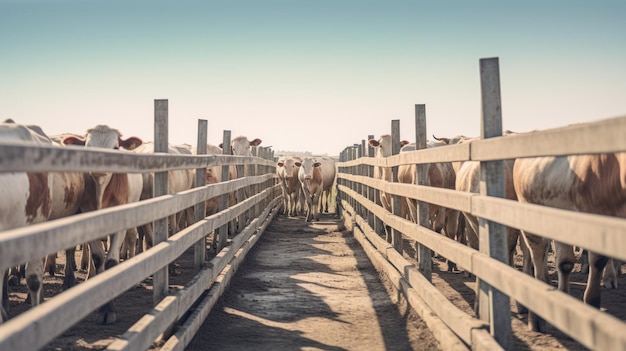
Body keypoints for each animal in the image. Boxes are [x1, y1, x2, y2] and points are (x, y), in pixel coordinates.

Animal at [61, 125, 143, 326]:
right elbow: (98, 258)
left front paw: (109, 310)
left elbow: (112, 261)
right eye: (87, 147)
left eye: (115, 148)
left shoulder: (120, 224)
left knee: (132, 238)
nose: (98, 169)